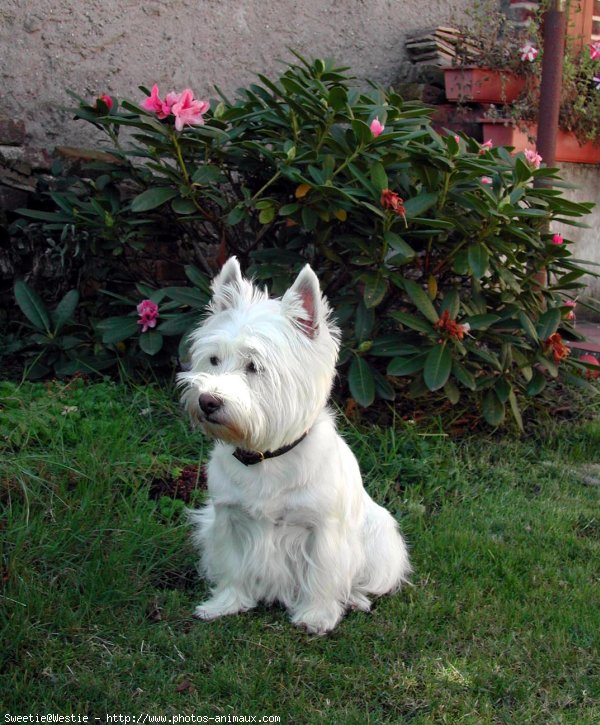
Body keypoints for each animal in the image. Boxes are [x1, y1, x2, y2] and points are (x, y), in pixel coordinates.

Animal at [178, 258, 410, 632]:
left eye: (254, 366)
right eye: (213, 360)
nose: (207, 401)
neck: (265, 456)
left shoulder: (322, 530)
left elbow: (322, 575)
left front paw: (316, 616)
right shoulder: (228, 518)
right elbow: (232, 565)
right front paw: (226, 604)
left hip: (381, 540)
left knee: (366, 580)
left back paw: (355, 600)